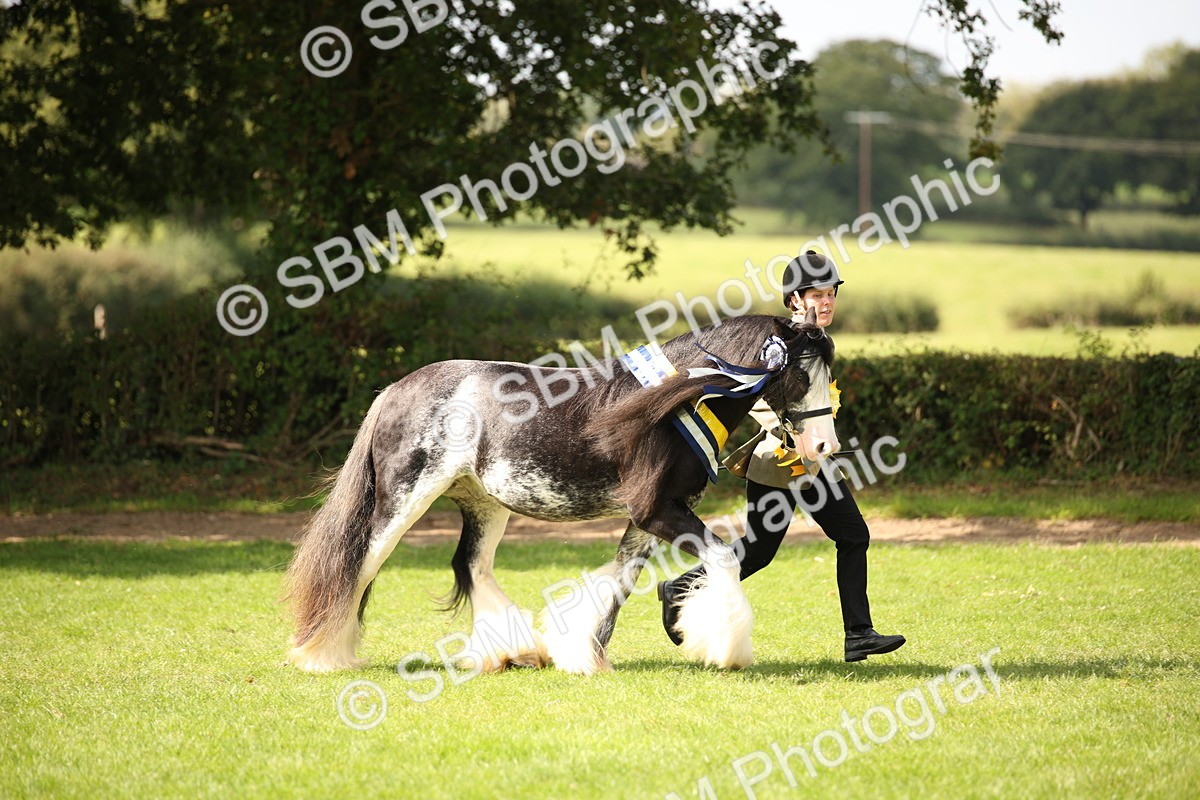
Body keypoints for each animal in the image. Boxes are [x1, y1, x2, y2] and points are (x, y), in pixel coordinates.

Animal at [283, 309, 837, 675]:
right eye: (798, 372)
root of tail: (395, 390)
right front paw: (726, 648)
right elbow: (722, 558)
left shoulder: (651, 517)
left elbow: (619, 583)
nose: (824, 445)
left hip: (484, 503)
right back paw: (323, 655)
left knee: (471, 565)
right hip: (404, 498)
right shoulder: (657, 511)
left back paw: (514, 652)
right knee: (360, 561)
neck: (672, 401)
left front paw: (587, 657)